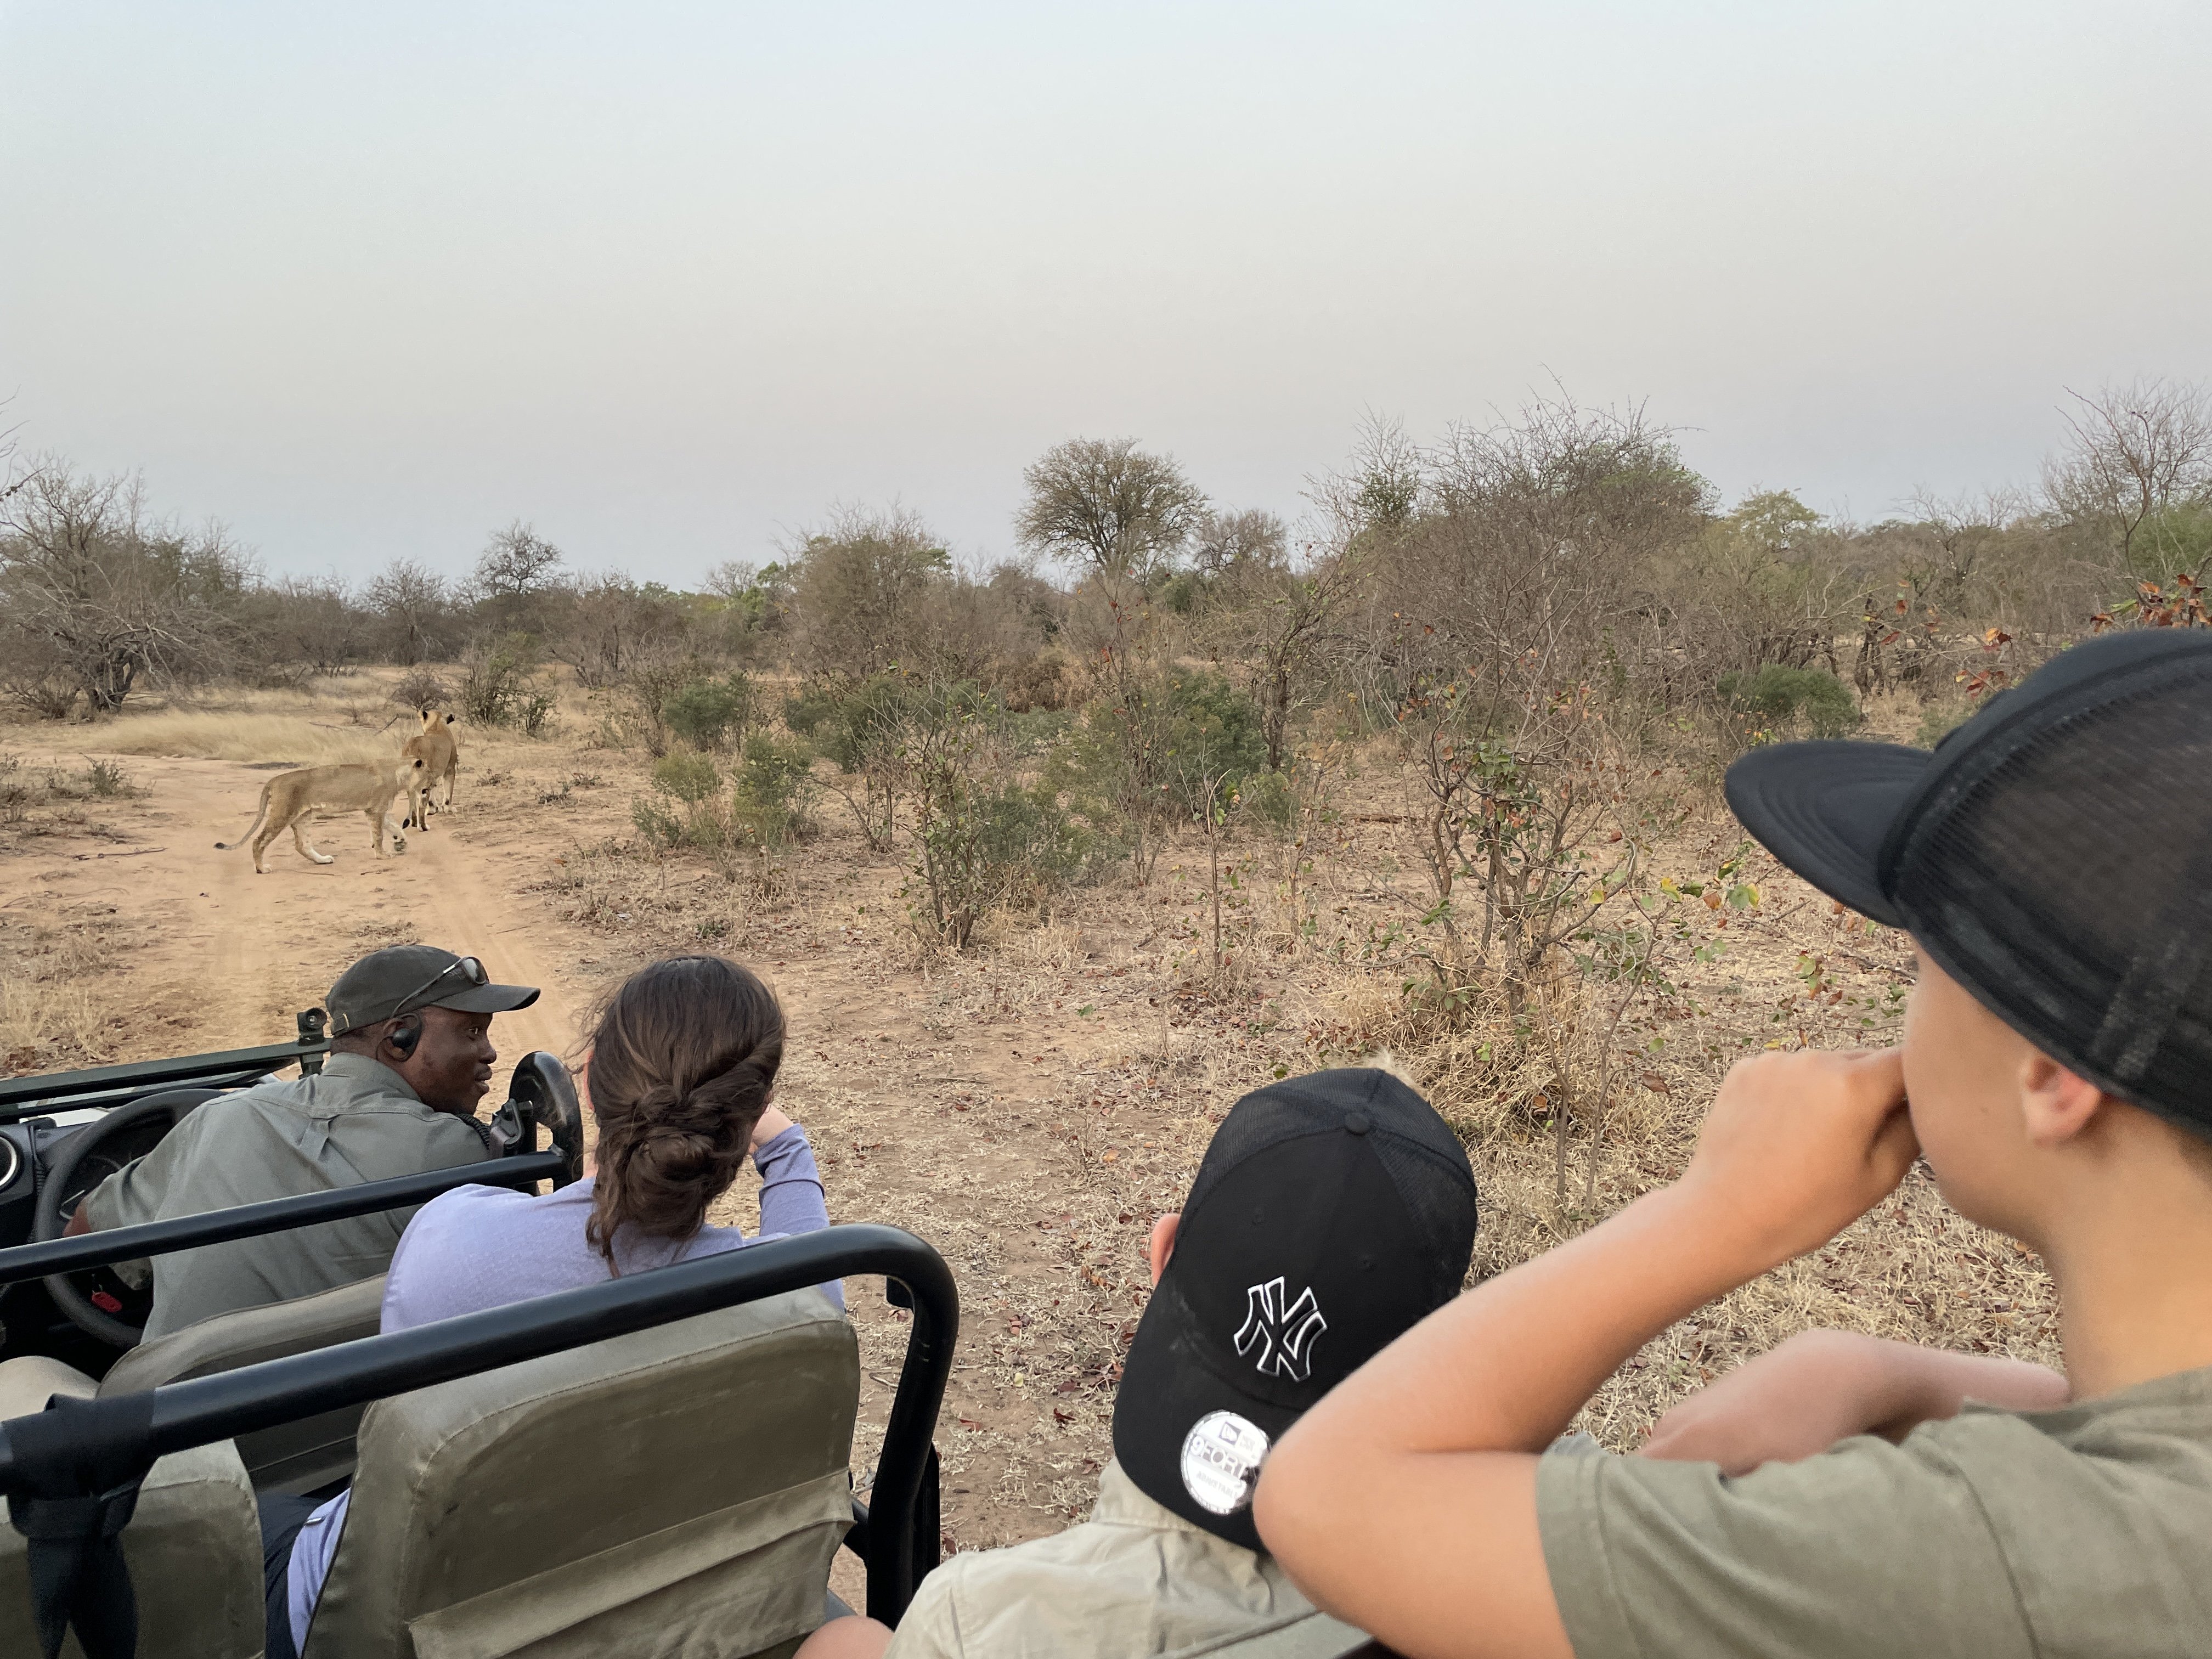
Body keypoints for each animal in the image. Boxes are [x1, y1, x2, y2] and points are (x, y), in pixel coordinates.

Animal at [216, 761, 427, 876]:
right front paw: (383, 855)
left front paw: (400, 841)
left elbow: (393, 826)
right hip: (283, 813)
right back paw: (261, 869)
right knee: (258, 841)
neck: (398, 772)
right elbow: (380, 835)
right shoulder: (376, 809)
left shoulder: (374, 809)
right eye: (429, 773)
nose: (429, 787)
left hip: (303, 817)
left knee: (302, 845)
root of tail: (274, 780)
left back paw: (322, 860)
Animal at [400, 708, 460, 832]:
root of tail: (413, 746)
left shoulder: (434, 775)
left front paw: (433, 809)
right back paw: (423, 827)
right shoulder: (450, 769)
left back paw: (414, 823)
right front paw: (448, 808)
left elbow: (434, 791)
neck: (435, 725)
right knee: (421, 805)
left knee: (413, 803)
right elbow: (449, 791)